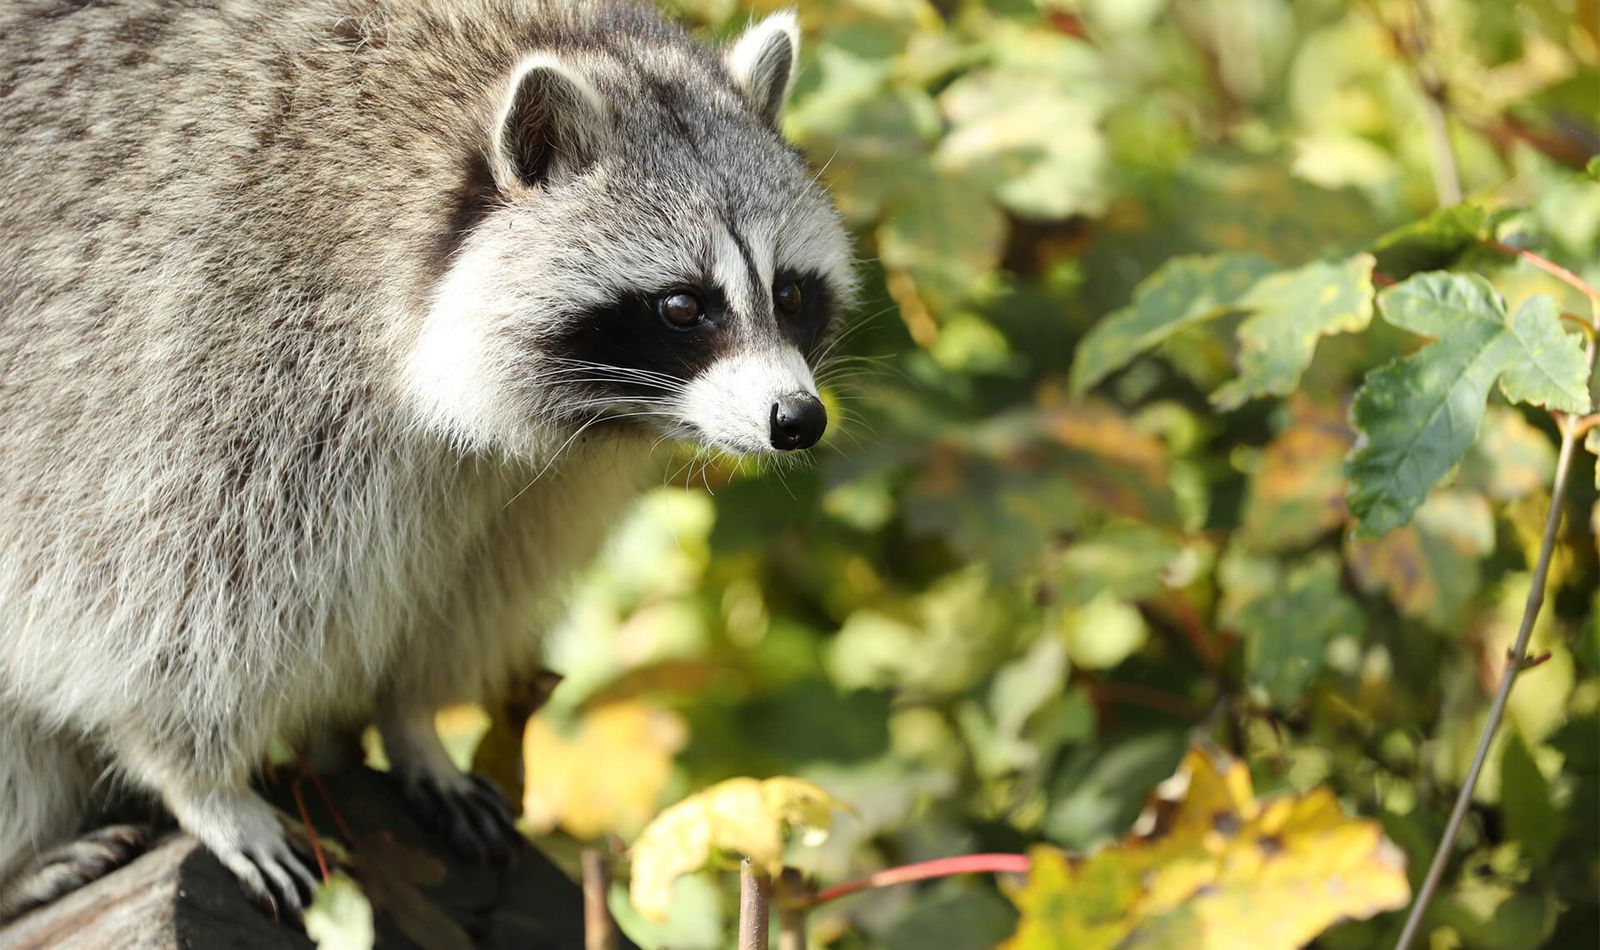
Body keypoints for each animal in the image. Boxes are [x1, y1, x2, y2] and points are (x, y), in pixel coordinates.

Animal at [0, 0, 857, 914]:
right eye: (682, 306)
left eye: (790, 293)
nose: (797, 420)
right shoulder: (214, 349)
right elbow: (156, 606)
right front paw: (202, 783)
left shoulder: (532, 486)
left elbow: (461, 595)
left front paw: (412, 719)